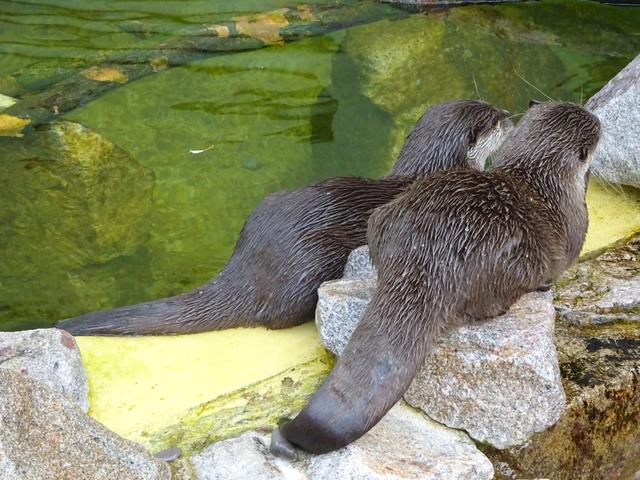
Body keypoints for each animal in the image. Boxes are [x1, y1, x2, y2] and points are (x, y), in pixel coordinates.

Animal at [272, 101, 601, 456]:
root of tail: (430, 257)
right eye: (596, 131)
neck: (540, 178)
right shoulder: (576, 225)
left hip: (383, 218)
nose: (598, 120)